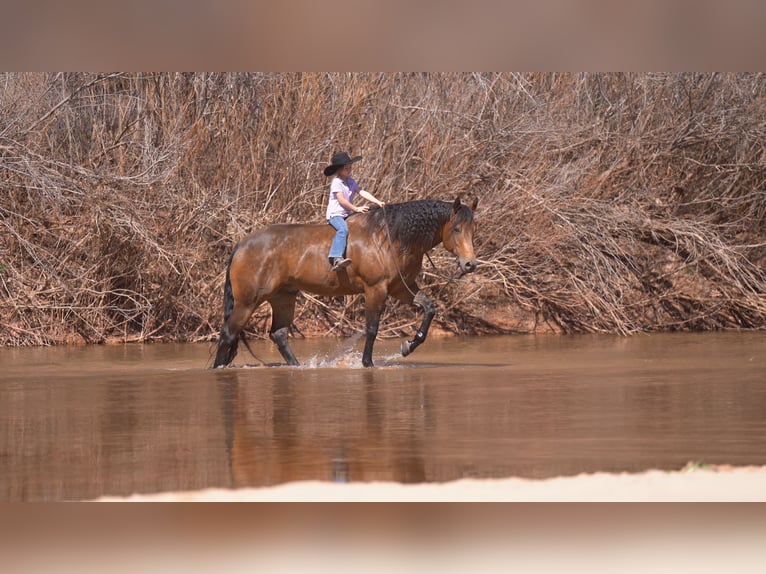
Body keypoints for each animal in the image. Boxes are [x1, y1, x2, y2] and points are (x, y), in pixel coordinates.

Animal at [214, 198, 480, 368]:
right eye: (457, 229)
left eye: (473, 229)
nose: (469, 264)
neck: (389, 238)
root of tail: (242, 244)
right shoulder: (376, 290)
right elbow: (372, 328)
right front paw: (367, 363)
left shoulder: (400, 288)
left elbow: (429, 308)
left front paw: (409, 346)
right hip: (248, 301)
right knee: (228, 333)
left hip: (283, 298)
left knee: (278, 335)